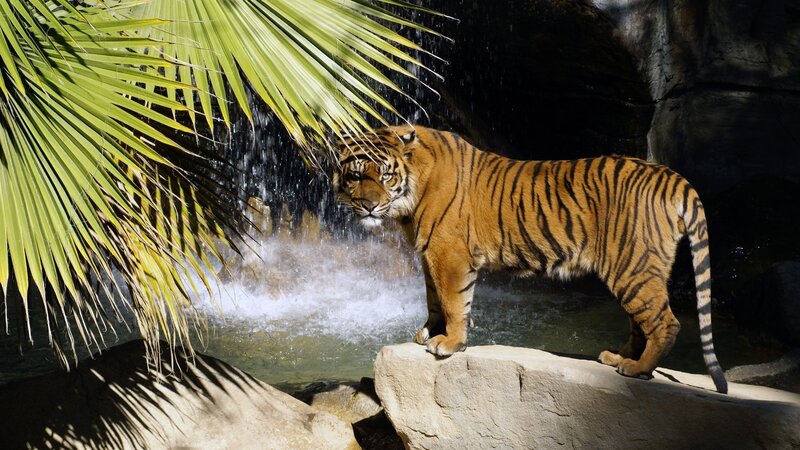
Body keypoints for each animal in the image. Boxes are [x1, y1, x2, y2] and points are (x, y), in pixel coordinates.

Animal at [332, 124, 728, 394]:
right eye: (355, 176)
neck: (411, 197)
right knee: (640, 322)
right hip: (638, 269)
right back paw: (618, 358)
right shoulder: (430, 254)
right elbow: (434, 299)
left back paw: (638, 369)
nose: (369, 205)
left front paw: (449, 343)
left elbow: (453, 300)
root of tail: (670, 174)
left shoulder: (449, 254)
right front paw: (429, 331)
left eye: (386, 175)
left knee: (665, 323)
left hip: (632, 266)